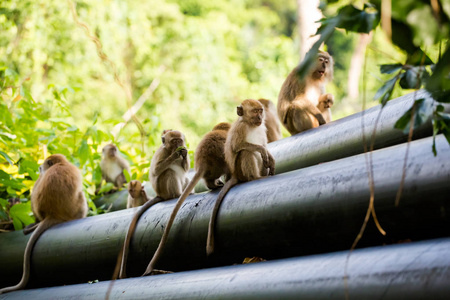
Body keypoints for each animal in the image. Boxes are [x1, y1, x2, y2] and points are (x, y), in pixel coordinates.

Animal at [0, 154, 87, 294]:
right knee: (81, 195)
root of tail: (53, 214)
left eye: (43, 166)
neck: (60, 164)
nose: (40, 168)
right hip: (76, 210)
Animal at [113, 130, 191, 280]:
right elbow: (156, 170)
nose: (178, 145)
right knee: (169, 172)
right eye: (174, 141)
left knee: (186, 177)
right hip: (164, 189)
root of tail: (161, 194)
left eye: (179, 140)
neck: (169, 149)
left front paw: (183, 153)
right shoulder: (162, 153)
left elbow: (185, 169)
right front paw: (174, 155)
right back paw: (177, 195)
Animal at [205, 100, 274, 255]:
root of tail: (235, 175)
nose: (260, 117)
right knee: (246, 152)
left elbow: (265, 148)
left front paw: (271, 158)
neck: (250, 125)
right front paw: (262, 150)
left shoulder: (262, 128)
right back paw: (254, 178)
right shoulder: (240, 128)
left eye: (260, 111)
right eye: (254, 112)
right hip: (240, 170)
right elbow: (239, 146)